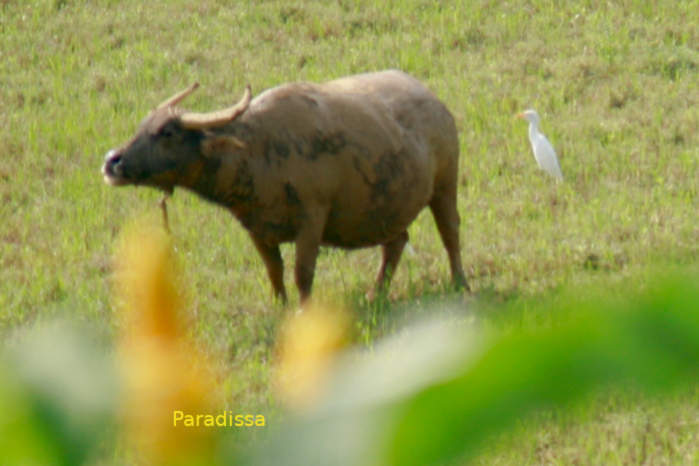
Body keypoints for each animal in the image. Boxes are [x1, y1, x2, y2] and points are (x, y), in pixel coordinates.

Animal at [102, 70, 468, 304]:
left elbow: (302, 274)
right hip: (387, 207)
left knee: (450, 232)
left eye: (167, 132)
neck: (258, 152)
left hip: (445, 185)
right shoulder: (255, 228)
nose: (112, 161)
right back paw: (375, 294)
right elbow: (274, 272)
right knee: (396, 243)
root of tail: (437, 104)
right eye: (141, 126)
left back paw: (460, 283)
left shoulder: (312, 220)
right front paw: (281, 308)